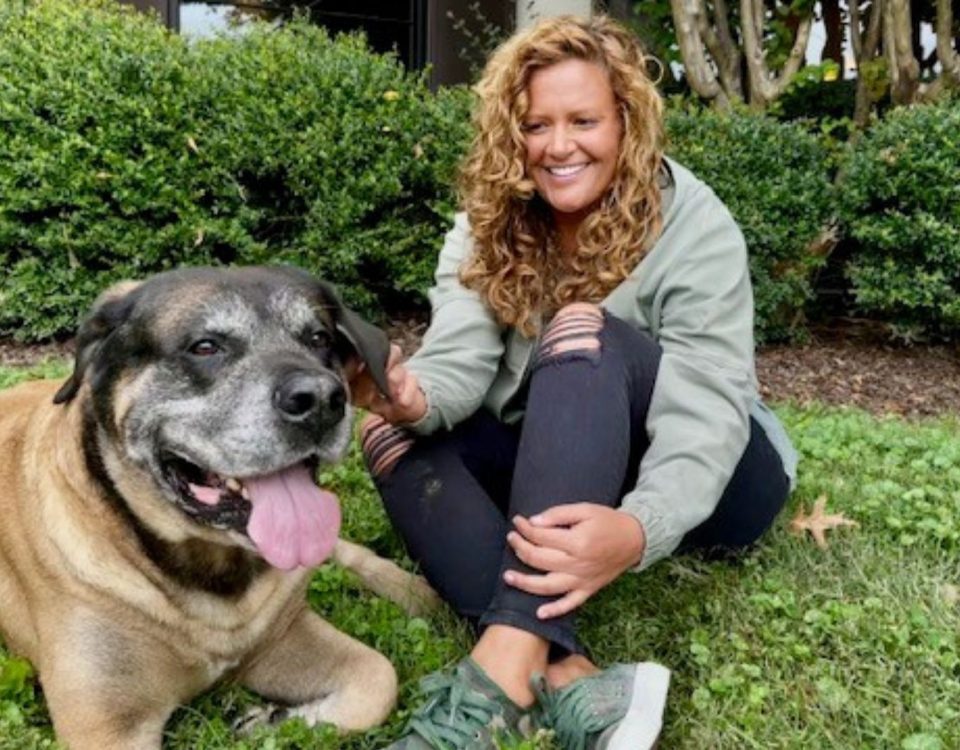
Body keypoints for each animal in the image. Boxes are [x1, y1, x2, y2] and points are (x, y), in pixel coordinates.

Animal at [0, 268, 436, 750]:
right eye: (205, 346)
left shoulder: (282, 635)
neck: (209, 571)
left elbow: (380, 675)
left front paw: (276, 719)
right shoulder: (106, 724)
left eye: (319, 337)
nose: (323, 398)